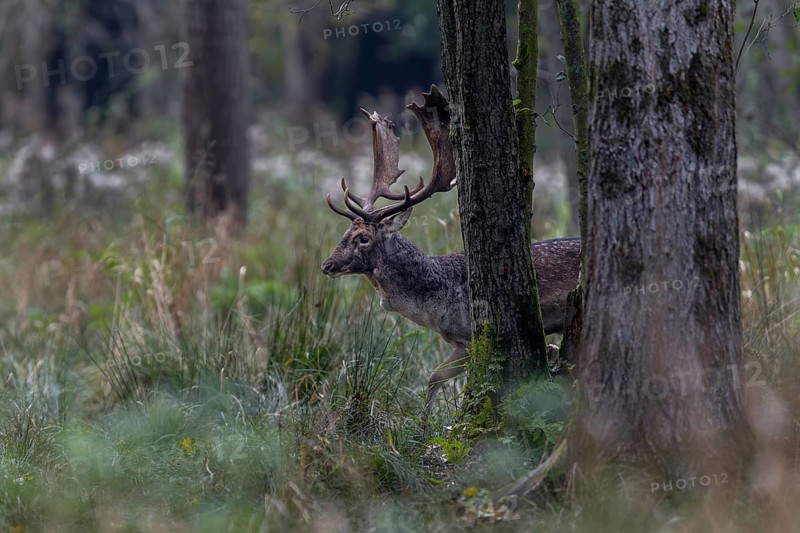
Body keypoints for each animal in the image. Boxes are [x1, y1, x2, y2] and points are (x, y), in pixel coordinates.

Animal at [321, 86, 581, 410]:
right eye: (346, 232)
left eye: (363, 238)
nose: (327, 265)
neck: (434, 307)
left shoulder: (471, 337)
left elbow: (435, 377)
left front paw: (426, 419)